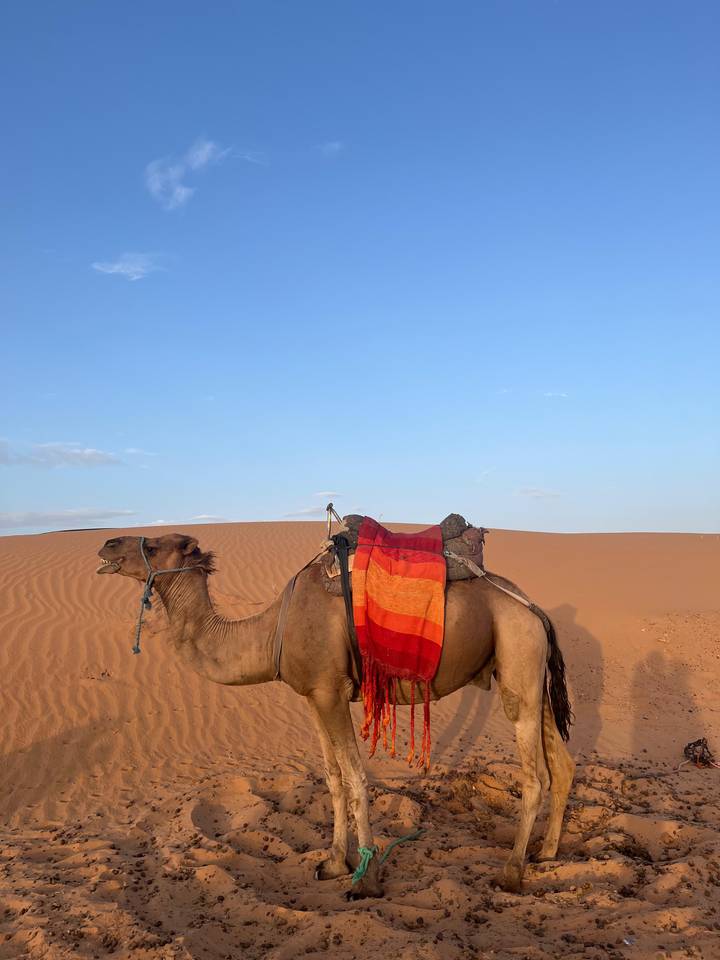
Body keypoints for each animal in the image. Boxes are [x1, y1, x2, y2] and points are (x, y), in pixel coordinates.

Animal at [96, 531, 575, 899]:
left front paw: (367, 880)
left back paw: (510, 874)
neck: (271, 632)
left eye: (154, 545)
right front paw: (332, 863)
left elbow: (357, 776)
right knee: (563, 764)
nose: (106, 544)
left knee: (535, 776)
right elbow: (333, 778)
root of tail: (534, 608)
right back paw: (547, 852)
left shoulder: (330, 692)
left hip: (517, 659)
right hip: (531, 677)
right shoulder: (314, 696)